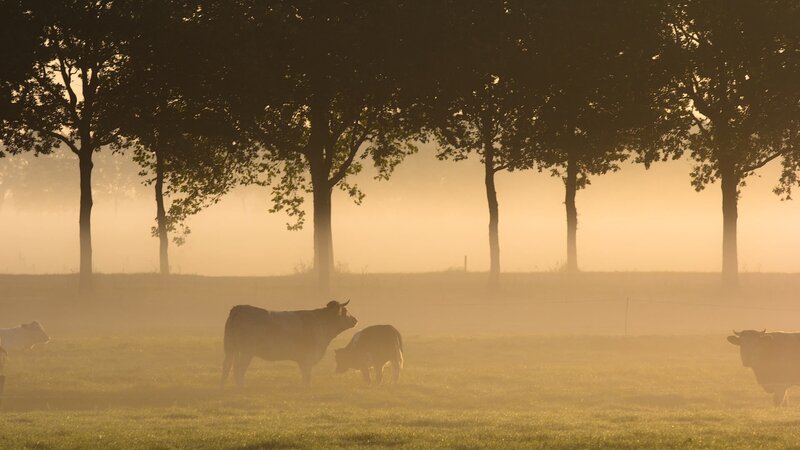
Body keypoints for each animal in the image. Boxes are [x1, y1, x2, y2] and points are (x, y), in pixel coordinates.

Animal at [221, 300, 358, 387]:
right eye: (345, 311)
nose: (355, 319)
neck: (321, 322)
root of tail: (239, 308)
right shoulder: (308, 356)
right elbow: (307, 375)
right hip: (247, 351)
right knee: (238, 368)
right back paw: (241, 387)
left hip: (230, 349)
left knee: (226, 367)